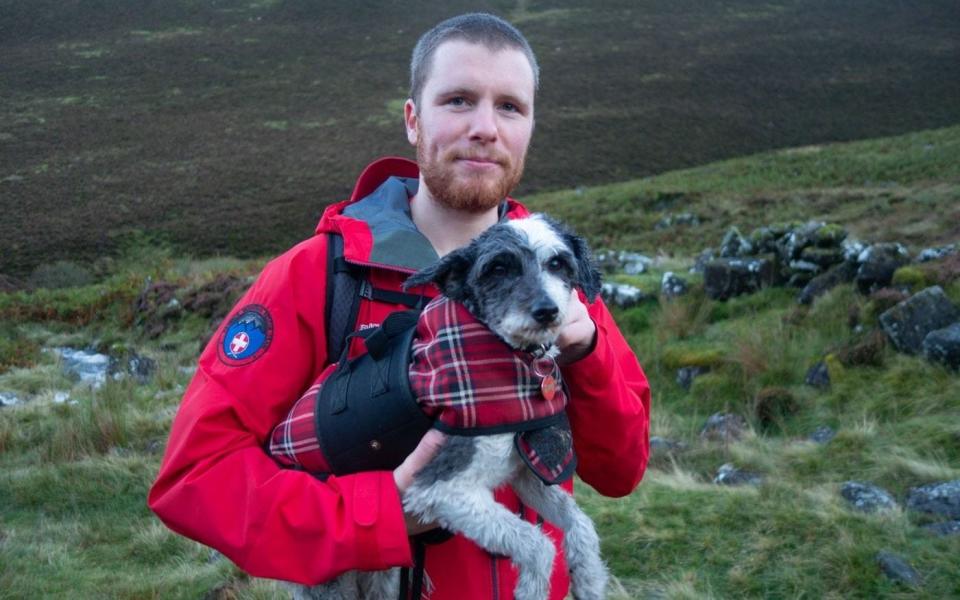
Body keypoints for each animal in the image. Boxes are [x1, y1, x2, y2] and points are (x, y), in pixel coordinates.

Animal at [286, 214, 608, 600]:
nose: (546, 311)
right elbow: (536, 544)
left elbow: (581, 524)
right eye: (497, 268)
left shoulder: (522, 471)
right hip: (330, 581)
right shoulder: (442, 488)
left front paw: (589, 581)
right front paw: (532, 589)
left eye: (557, 263)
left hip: (385, 576)